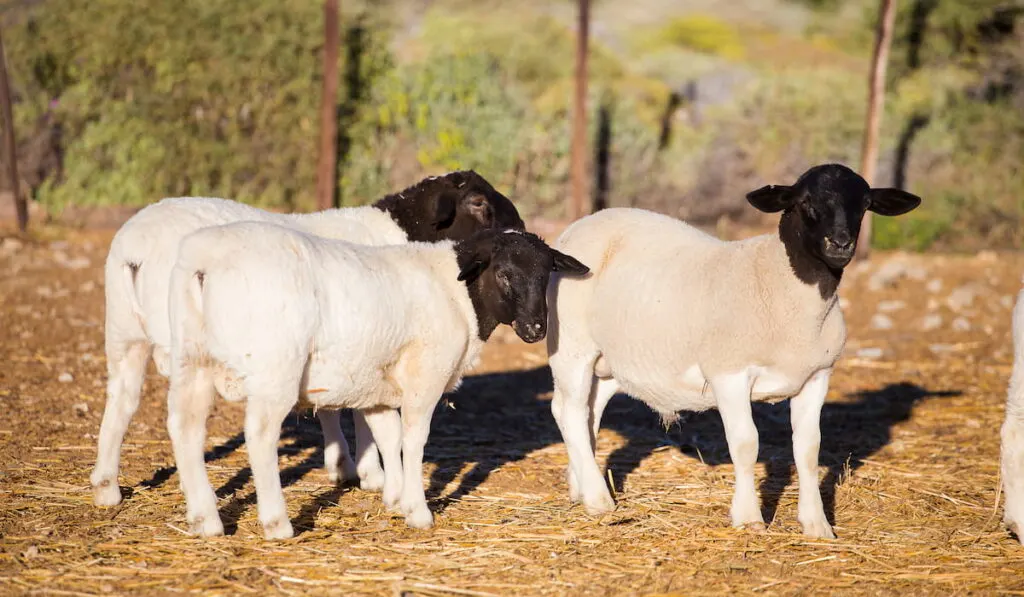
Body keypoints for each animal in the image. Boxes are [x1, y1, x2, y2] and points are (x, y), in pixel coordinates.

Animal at [91, 168, 524, 509]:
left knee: (122, 400)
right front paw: (372, 474)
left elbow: (331, 404)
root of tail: (136, 250)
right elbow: (359, 411)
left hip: (123, 334)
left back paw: (107, 487)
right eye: (478, 202)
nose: (520, 230)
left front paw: (344, 465)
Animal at [164, 223, 589, 536]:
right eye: (503, 273)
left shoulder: (379, 386)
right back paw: (277, 523)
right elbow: (414, 440)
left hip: (190, 360)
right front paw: (418, 510)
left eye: (546, 274)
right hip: (275, 368)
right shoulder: (425, 375)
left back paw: (205, 520)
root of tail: (206, 264)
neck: (457, 294)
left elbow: (389, 438)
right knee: (259, 436)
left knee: (185, 430)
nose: (536, 329)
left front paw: (396, 499)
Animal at [548, 164, 925, 540]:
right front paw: (748, 518)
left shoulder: (817, 376)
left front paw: (817, 525)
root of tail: (582, 224)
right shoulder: (728, 373)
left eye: (864, 204)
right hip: (571, 347)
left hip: (610, 361)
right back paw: (598, 500)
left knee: (585, 413)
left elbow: (808, 449)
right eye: (804, 202)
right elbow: (745, 444)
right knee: (570, 412)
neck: (782, 283)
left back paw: (581, 487)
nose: (840, 243)